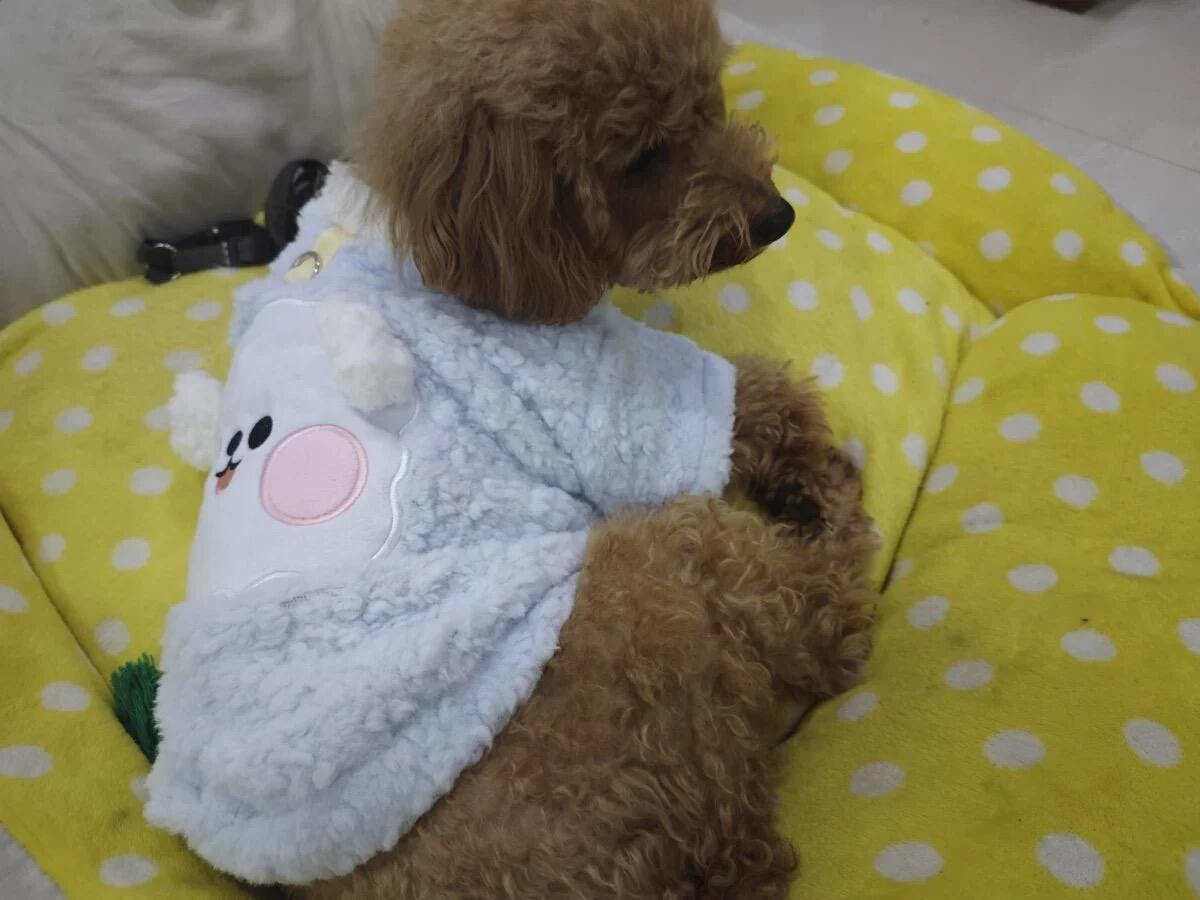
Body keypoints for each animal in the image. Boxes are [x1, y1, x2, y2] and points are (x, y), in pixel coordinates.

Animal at [296, 0, 878, 896]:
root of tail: (686, 851)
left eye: (709, 104)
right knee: (830, 618)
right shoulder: (601, 395)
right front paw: (810, 454)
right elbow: (747, 396)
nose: (776, 218)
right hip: (654, 572)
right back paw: (828, 513)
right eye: (640, 160)